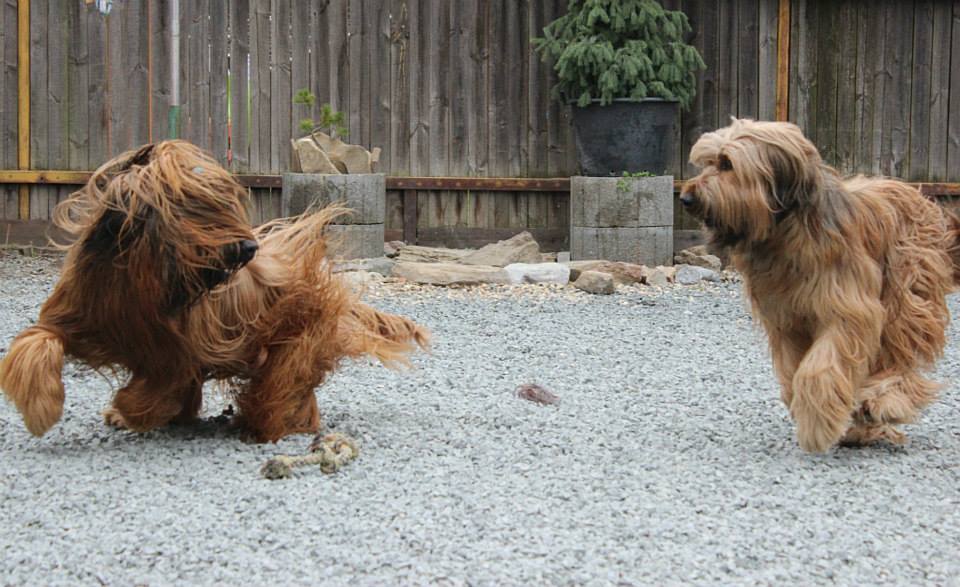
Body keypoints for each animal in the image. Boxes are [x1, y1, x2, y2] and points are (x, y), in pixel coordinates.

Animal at [0, 140, 428, 442]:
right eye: (200, 208)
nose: (249, 248)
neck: (136, 283)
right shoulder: (77, 311)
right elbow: (35, 342)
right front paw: (42, 409)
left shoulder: (175, 355)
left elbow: (159, 386)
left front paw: (127, 409)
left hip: (297, 339)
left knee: (283, 386)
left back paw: (264, 425)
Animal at [681, 119, 960, 452]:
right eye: (707, 162)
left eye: (726, 164)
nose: (686, 198)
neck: (784, 234)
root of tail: (922, 198)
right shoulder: (786, 320)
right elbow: (793, 370)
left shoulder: (848, 311)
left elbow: (821, 367)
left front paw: (818, 421)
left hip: (905, 294)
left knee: (898, 355)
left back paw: (882, 403)